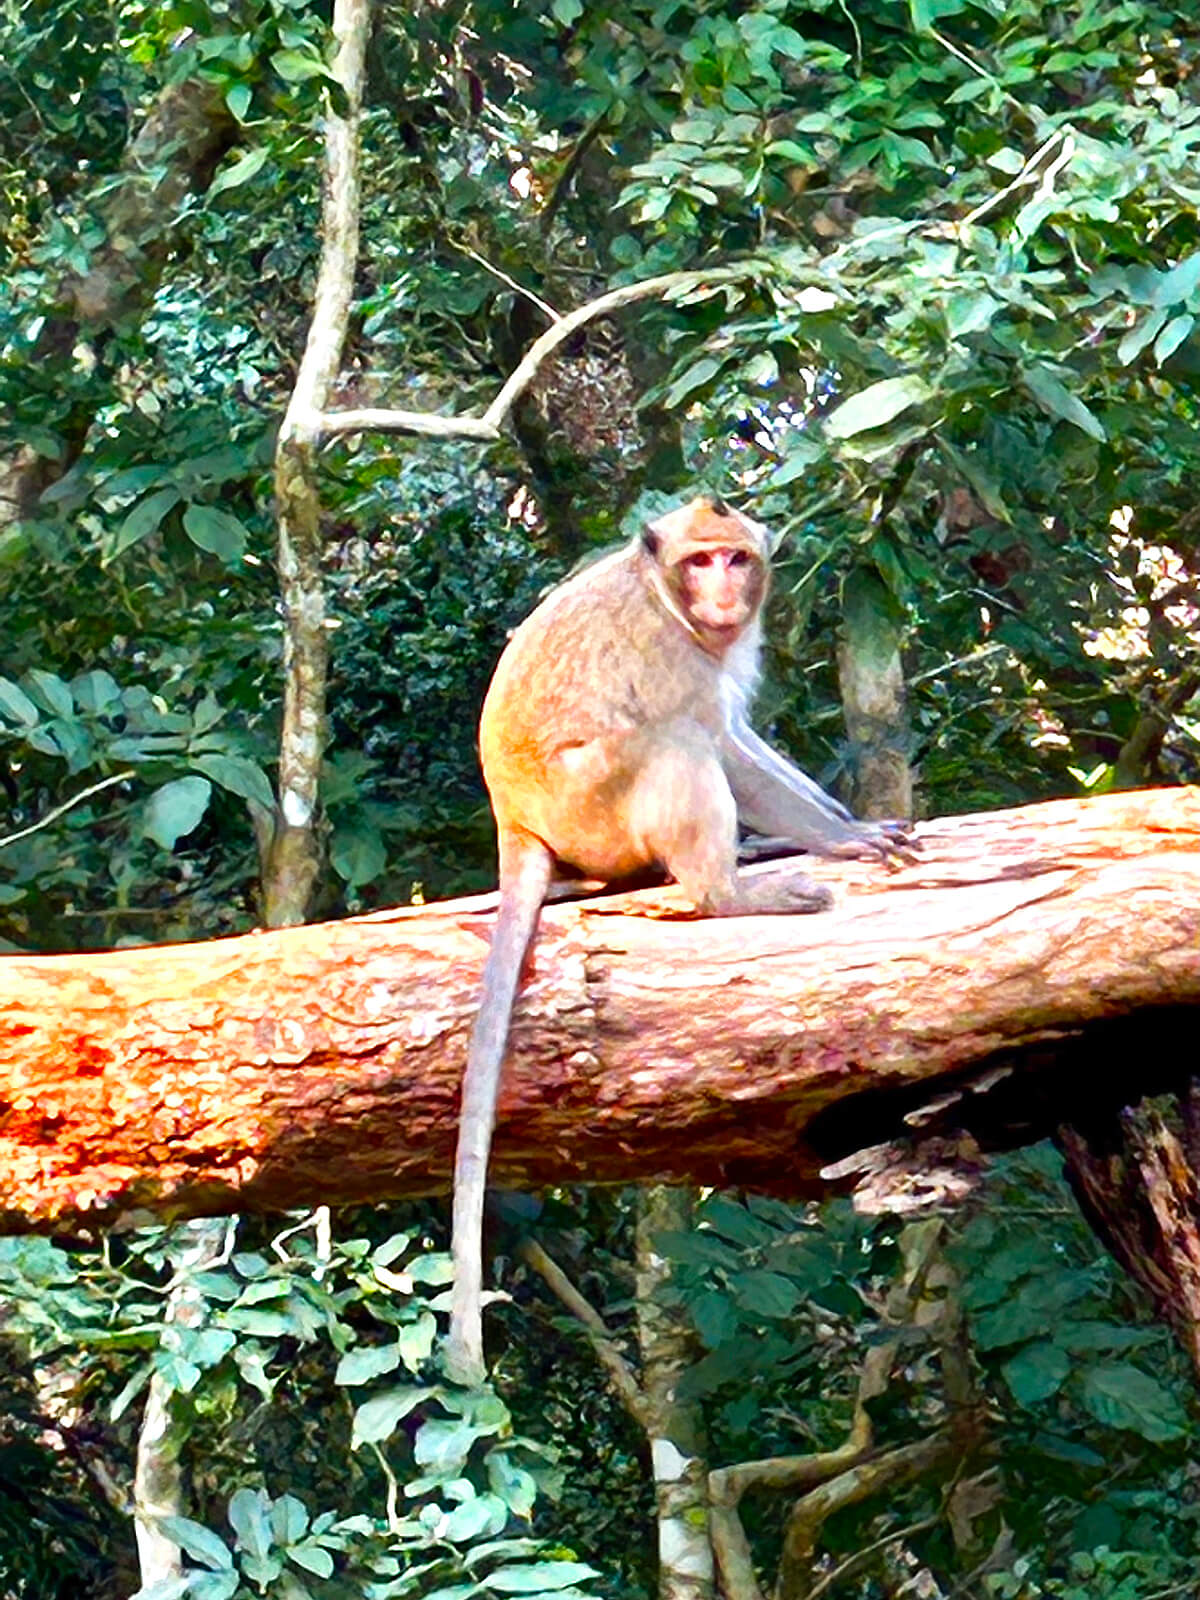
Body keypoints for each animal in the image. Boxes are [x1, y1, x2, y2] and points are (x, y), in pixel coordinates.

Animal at [445, 495, 913, 1384]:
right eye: (699, 562)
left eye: (735, 559)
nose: (724, 593)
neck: (668, 601)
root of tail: (513, 823)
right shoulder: (669, 656)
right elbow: (721, 742)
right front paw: (842, 839)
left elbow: (744, 736)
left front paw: (842, 819)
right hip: (591, 807)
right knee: (675, 741)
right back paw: (727, 892)